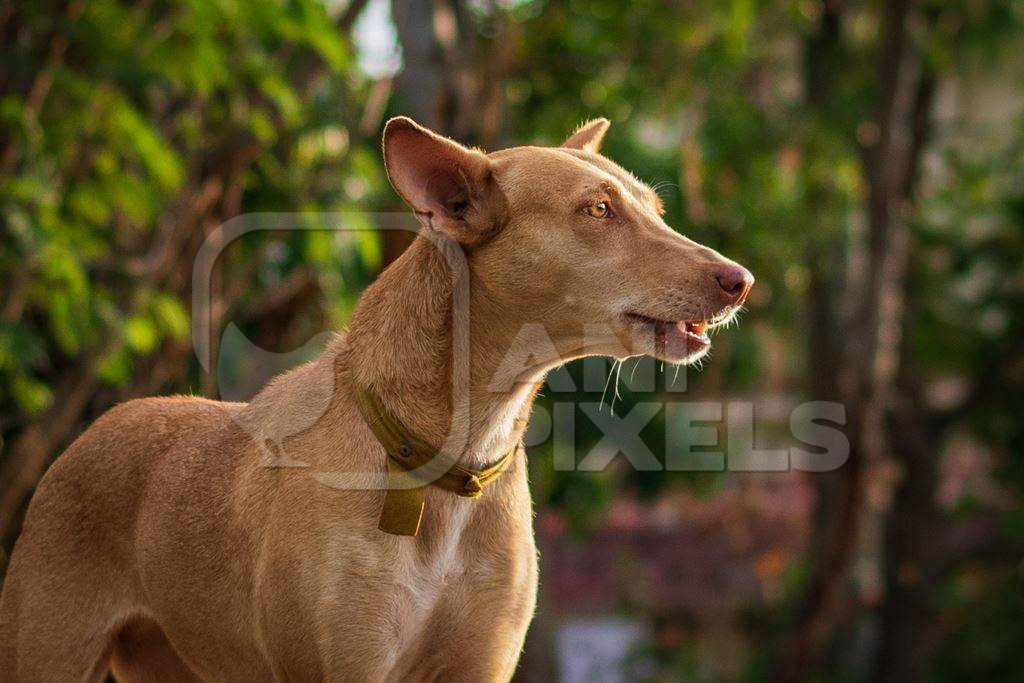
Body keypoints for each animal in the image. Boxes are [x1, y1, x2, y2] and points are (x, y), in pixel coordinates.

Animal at [0, 114, 753, 679]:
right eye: (597, 211)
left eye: (656, 210)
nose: (740, 280)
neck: (451, 456)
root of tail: (96, 428)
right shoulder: (344, 664)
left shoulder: (480, 665)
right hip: (47, 652)